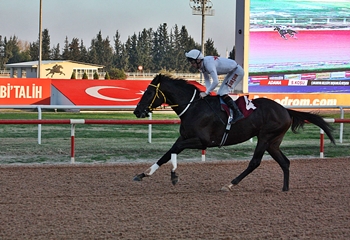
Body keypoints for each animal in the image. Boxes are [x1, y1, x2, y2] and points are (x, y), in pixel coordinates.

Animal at [133, 74, 334, 191]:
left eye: (149, 92)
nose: (137, 111)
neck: (193, 108)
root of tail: (285, 109)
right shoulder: (185, 137)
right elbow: (167, 153)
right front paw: (143, 174)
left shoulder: (203, 141)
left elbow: (174, 150)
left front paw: (174, 176)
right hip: (273, 142)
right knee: (284, 162)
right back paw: (285, 189)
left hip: (265, 137)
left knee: (255, 162)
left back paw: (230, 183)